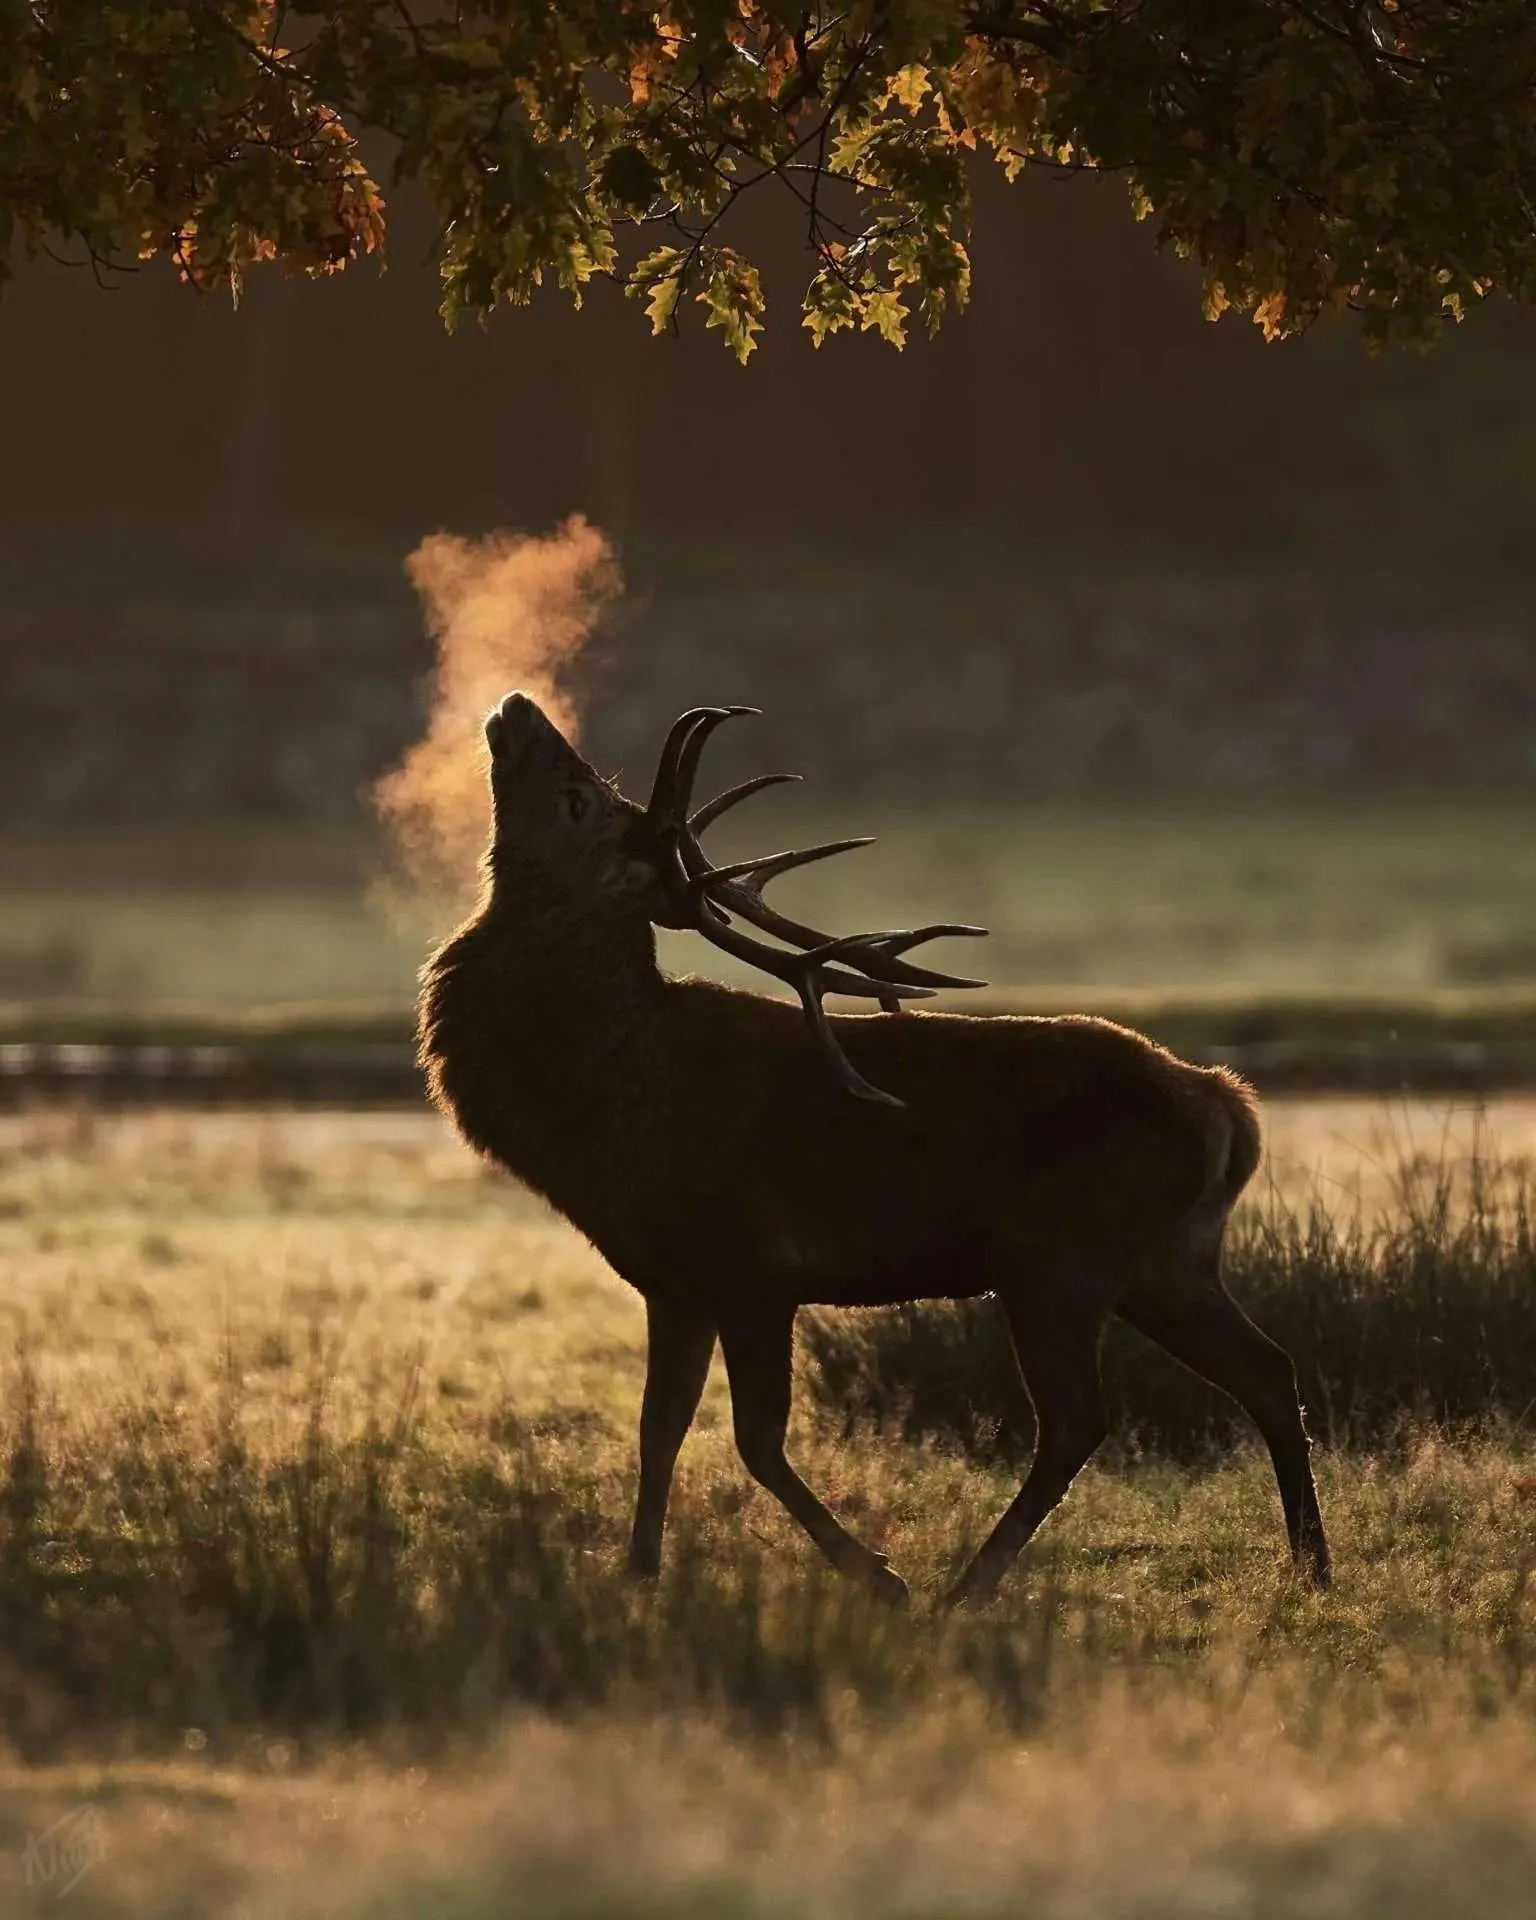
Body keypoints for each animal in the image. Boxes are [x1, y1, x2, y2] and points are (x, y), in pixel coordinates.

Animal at [418, 691, 1331, 1606]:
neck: (608, 1107)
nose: (517, 706)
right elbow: (658, 1429)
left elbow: (755, 1440)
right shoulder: (673, 1283)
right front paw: (638, 1574)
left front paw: (877, 1575)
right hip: (1164, 1260)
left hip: (1058, 1258)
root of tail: (1228, 1105)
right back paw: (1311, 1565)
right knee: (1267, 1369)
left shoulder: (752, 1265)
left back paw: (967, 1588)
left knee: (1078, 1418)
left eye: (581, 799)